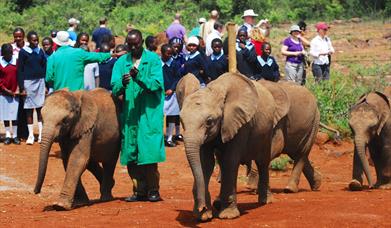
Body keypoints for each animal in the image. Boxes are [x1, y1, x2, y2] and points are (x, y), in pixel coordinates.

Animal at [179, 72, 278, 221]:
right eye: (181, 120)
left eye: (209, 121)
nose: (201, 207)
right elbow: (205, 163)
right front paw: (204, 216)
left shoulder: (240, 123)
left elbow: (230, 161)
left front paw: (228, 216)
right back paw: (218, 203)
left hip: (267, 129)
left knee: (262, 162)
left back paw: (265, 201)